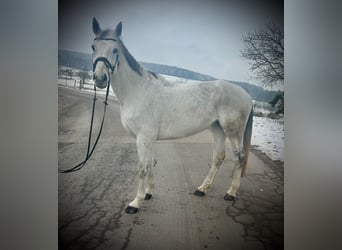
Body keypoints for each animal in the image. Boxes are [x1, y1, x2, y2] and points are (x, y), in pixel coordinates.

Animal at [91, 18, 254, 214]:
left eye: (115, 50)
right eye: (93, 47)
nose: (100, 78)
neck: (138, 91)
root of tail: (246, 95)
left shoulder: (143, 138)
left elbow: (142, 168)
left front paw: (135, 203)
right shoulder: (148, 139)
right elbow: (150, 164)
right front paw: (148, 193)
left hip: (233, 132)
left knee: (239, 157)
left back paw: (231, 193)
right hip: (217, 129)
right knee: (218, 157)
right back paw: (202, 189)